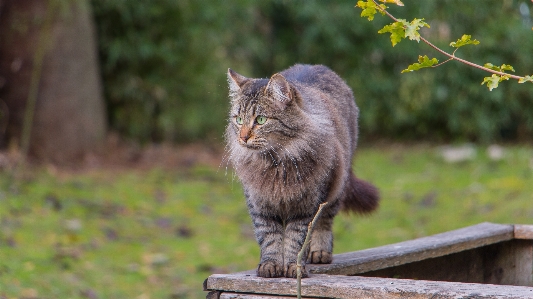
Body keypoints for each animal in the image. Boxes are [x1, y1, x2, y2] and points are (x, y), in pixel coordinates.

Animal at [224, 63, 378, 278]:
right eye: (238, 119)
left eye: (261, 120)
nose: (243, 137)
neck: (276, 163)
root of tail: (317, 66)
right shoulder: (260, 204)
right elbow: (270, 238)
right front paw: (270, 265)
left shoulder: (306, 206)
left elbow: (296, 239)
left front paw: (293, 267)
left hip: (336, 187)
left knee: (324, 222)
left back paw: (319, 252)